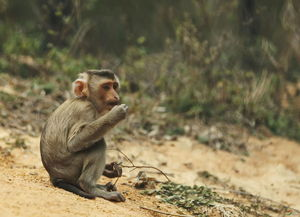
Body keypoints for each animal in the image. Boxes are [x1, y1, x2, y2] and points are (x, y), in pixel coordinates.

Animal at [40, 69, 127, 202]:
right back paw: (90, 186)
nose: (116, 96)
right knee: (98, 143)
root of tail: (54, 176)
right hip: (70, 168)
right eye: (106, 87)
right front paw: (116, 114)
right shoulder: (86, 109)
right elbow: (73, 143)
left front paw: (110, 170)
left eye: (114, 86)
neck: (86, 99)